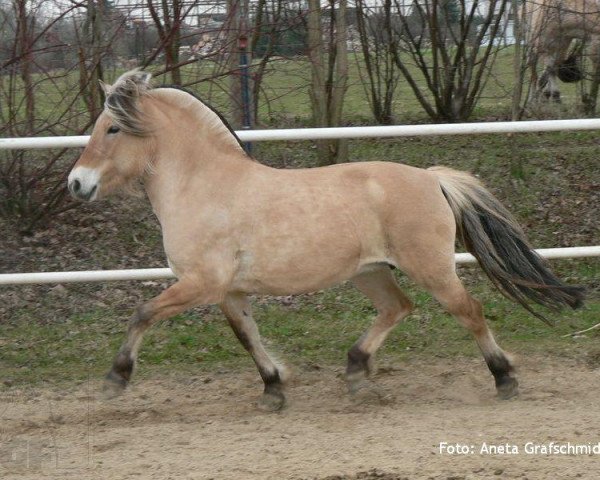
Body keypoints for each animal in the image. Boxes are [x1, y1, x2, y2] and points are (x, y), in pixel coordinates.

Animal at [68, 69, 584, 410]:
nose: (76, 183)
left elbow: (143, 314)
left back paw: (504, 380)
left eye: (113, 128)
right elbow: (247, 336)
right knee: (399, 308)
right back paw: (356, 371)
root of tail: (432, 178)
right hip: (370, 272)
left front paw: (115, 380)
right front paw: (273, 389)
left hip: (431, 268)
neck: (205, 186)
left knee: (469, 311)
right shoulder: (229, 291)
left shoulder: (201, 283)